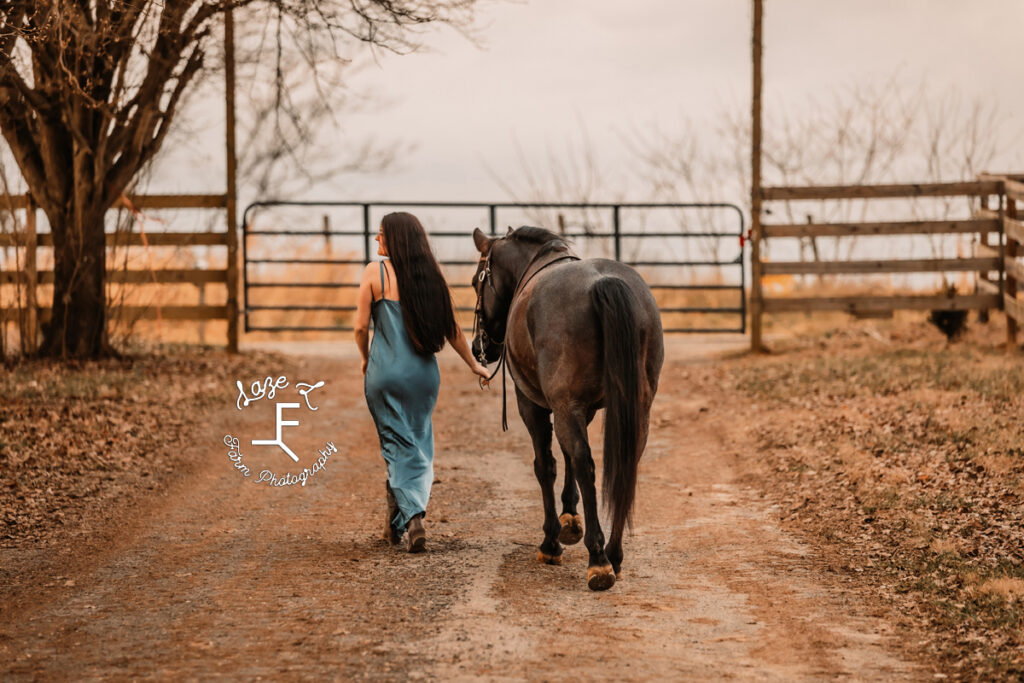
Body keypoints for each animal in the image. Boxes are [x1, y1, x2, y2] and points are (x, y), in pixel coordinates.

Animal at [471, 227, 663, 589]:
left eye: (478, 281)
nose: (478, 347)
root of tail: (603, 283)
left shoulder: (534, 406)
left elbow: (546, 465)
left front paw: (552, 541)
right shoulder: (580, 408)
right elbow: (568, 455)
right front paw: (571, 519)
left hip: (561, 407)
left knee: (587, 466)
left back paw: (598, 560)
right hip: (635, 409)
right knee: (624, 464)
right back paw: (614, 555)